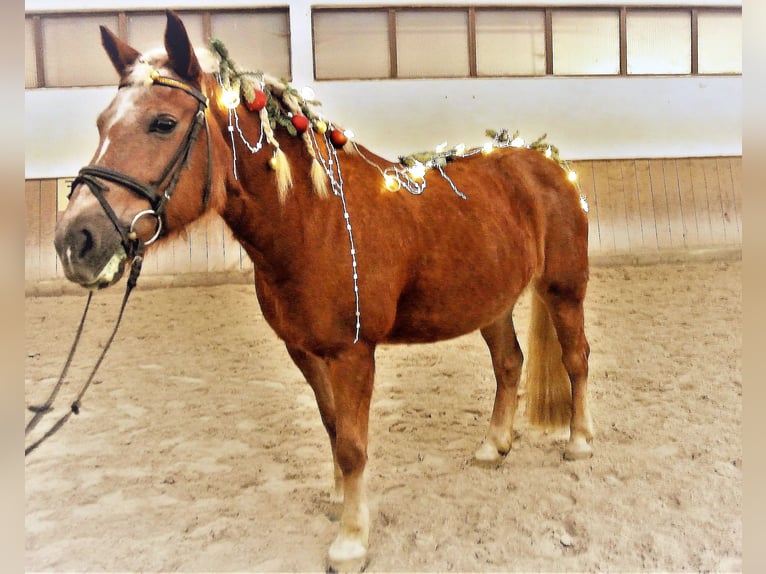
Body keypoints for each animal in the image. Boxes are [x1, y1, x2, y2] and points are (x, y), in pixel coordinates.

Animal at [54, 11, 592, 572]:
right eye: (101, 124)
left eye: (162, 123)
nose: (75, 240)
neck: (314, 220)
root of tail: (548, 163)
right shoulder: (305, 351)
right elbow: (334, 428)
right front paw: (339, 501)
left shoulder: (352, 353)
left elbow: (353, 444)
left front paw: (351, 540)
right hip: (493, 302)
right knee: (509, 364)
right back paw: (493, 446)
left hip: (564, 289)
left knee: (576, 358)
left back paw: (578, 443)